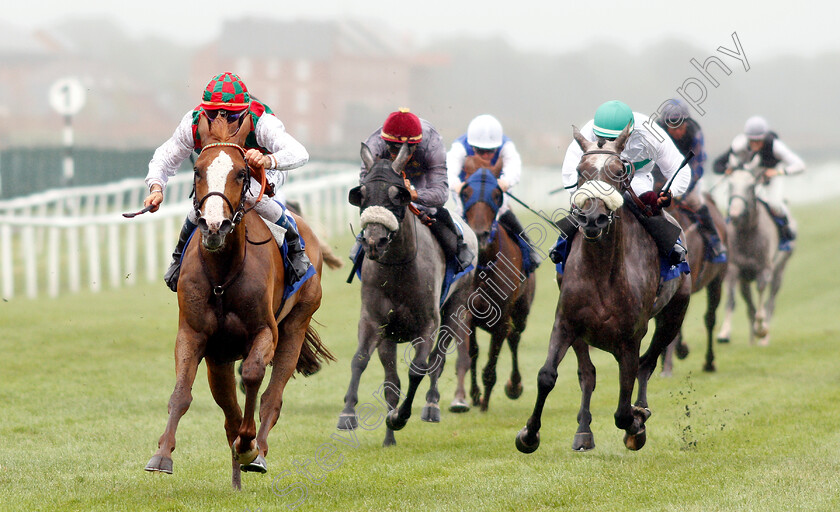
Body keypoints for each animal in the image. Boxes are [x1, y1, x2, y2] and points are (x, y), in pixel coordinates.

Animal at [146, 115, 334, 488]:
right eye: (197, 171)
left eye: (241, 172)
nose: (213, 226)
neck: (222, 275)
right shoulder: (195, 335)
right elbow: (181, 392)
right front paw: (162, 455)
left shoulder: (265, 331)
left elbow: (252, 375)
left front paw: (249, 447)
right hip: (219, 357)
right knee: (229, 413)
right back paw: (236, 475)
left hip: (297, 323)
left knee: (271, 397)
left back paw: (255, 452)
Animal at [336, 142, 480, 446]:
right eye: (361, 193)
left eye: (398, 195)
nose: (374, 241)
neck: (398, 269)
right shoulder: (375, 320)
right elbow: (361, 361)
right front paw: (348, 414)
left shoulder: (427, 324)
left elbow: (418, 368)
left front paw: (400, 417)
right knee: (392, 380)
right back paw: (389, 436)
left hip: (456, 308)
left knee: (438, 360)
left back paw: (432, 405)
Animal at [456, 163, 536, 412]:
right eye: (465, 194)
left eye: (496, 195)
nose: (479, 234)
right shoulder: (468, 314)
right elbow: (473, 353)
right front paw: (473, 395)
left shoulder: (501, 319)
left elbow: (491, 365)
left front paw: (484, 404)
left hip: (521, 312)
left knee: (515, 338)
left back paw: (514, 385)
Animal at [520, 126, 688, 454]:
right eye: (580, 170)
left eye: (619, 171)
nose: (593, 218)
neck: (600, 271)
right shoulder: (566, 322)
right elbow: (547, 376)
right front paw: (529, 434)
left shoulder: (630, 339)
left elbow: (623, 409)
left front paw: (636, 423)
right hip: (583, 335)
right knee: (588, 374)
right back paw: (584, 431)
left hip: (673, 315)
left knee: (647, 364)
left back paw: (641, 410)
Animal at [716, 163, 796, 348]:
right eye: (730, 184)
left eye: (751, 186)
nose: (735, 213)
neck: (747, 234)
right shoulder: (734, 268)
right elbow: (731, 299)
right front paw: (724, 332)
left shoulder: (764, 269)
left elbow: (761, 294)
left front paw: (761, 329)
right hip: (745, 279)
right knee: (749, 304)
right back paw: (752, 338)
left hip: (780, 270)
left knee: (771, 301)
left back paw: (763, 337)